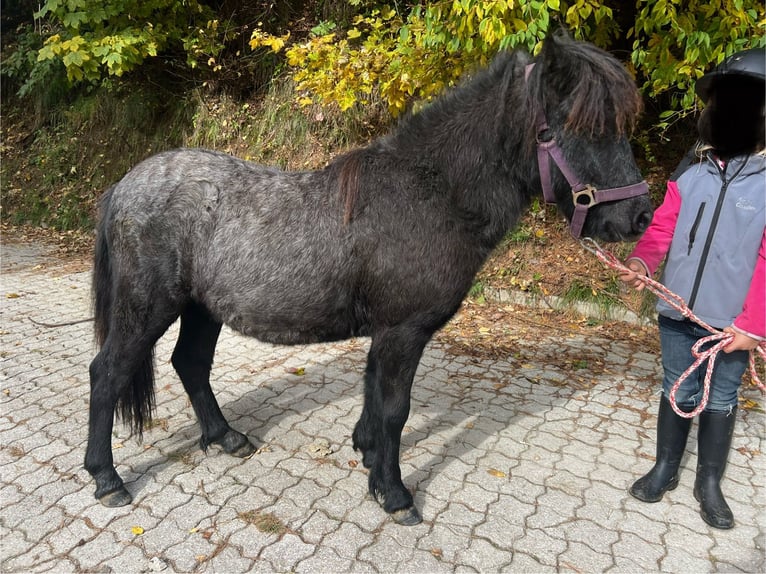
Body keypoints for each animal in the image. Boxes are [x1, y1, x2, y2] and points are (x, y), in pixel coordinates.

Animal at [87, 30, 656, 528]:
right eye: (588, 128)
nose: (638, 218)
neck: (430, 194)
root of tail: (124, 186)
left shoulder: (387, 334)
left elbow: (374, 401)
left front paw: (366, 456)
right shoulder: (403, 333)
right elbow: (394, 411)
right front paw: (395, 494)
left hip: (201, 308)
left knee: (190, 364)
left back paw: (225, 438)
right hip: (147, 309)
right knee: (107, 374)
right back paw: (107, 479)